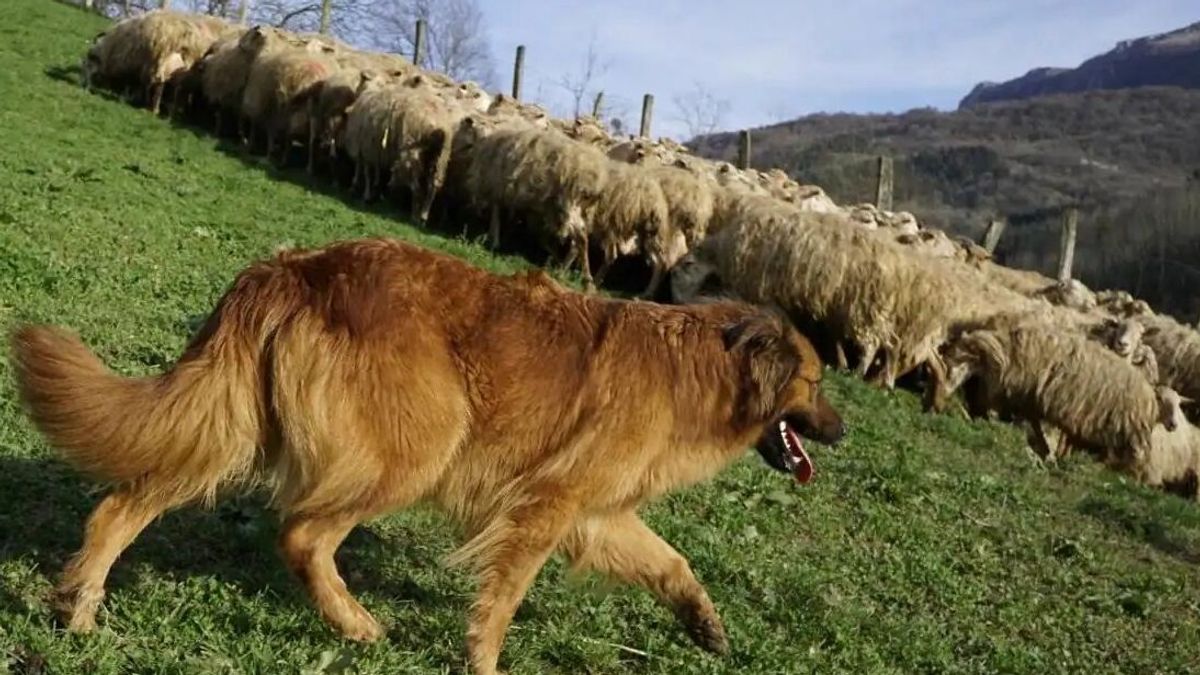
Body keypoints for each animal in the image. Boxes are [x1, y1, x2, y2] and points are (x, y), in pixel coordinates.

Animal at [9, 236, 844, 672]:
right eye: (815, 383)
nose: (840, 433)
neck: (698, 366)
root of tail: (293, 267)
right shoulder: (546, 507)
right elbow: (503, 599)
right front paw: (482, 661)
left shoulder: (595, 515)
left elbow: (674, 563)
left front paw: (706, 626)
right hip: (419, 445)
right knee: (302, 535)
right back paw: (354, 624)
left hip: (228, 424)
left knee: (123, 503)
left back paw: (78, 606)